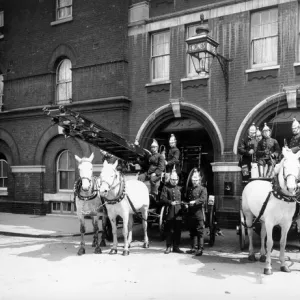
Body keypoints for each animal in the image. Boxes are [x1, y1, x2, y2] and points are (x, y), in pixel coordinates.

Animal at [241, 146, 300, 276]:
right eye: (284, 167)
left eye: (298, 167)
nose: (292, 187)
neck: (283, 198)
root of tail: (253, 181)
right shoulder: (270, 222)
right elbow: (270, 242)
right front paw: (268, 267)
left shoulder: (286, 224)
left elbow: (282, 242)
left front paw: (283, 265)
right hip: (248, 215)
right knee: (250, 232)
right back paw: (251, 254)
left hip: (262, 218)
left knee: (262, 234)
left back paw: (263, 255)